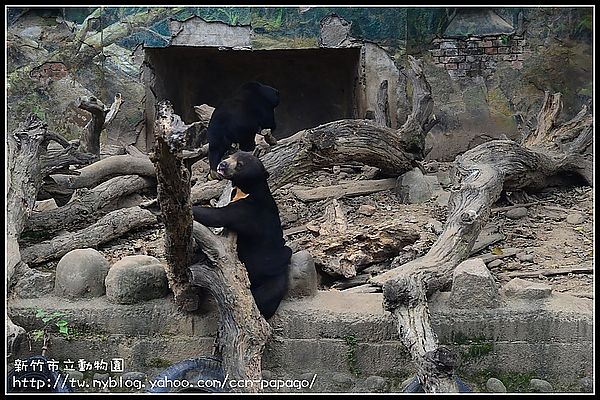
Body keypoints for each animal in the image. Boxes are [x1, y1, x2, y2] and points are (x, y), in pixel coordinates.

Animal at [193, 150, 292, 318]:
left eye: (240, 165)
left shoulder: (247, 211)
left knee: (265, 297)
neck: (244, 189)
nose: (222, 165)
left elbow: (217, 216)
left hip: (272, 278)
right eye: (230, 156)